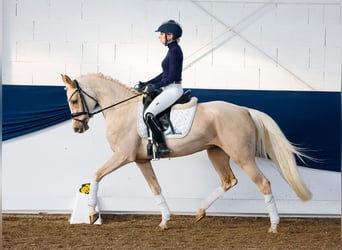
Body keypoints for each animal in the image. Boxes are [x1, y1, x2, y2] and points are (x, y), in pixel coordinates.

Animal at [60, 73, 312, 233]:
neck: (122, 109)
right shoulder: (141, 160)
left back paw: (274, 225)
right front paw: (164, 221)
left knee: (263, 183)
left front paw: (92, 214)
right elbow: (155, 188)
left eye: (74, 99)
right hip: (216, 153)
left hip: (243, 156)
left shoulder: (123, 156)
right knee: (228, 180)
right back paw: (199, 212)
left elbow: (95, 175)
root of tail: (244, 110)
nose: (77, 129)